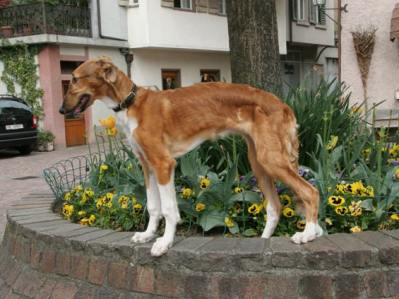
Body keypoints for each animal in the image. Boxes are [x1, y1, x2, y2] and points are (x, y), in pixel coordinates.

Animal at [58, 57, 322, 256]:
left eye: (75, 79)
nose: (62, 110)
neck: (131, 104)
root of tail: (283, 105)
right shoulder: (146, 165)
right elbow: (153, 206)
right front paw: (147, 235)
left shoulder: (164, 164)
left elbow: (168, 210)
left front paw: (164, 243)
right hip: (259, 162)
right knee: (274, 207)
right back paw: (264, 242)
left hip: (271, 160)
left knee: (310, 192)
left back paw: (307, 234)